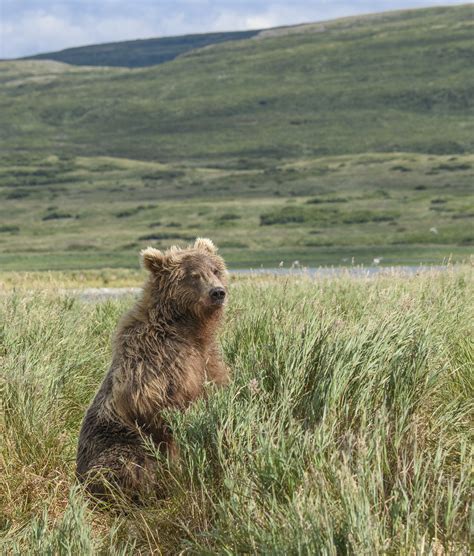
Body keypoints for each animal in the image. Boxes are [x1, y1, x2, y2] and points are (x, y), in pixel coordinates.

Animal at [76, 237, 230, 502]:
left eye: (215, 270)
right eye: (193, 275)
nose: (218, 292)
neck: (188, 327)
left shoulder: (206, 359)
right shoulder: (154, 356)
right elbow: (148, 399)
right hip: (115, 441)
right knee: (129, 462)